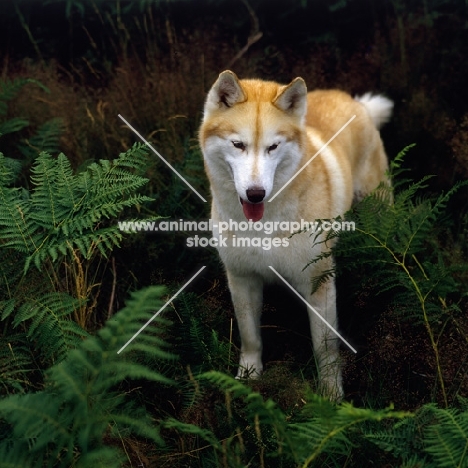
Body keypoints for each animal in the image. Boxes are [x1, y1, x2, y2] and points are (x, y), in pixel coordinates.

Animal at [197, 71, 392, 400]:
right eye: (238, 144)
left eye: (273, 147)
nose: (255, 193)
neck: (263, 226)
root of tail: (354, 101)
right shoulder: (242, 278)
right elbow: (250, 337)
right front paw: (248, 378)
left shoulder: (319, 282)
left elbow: (325, 349)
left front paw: (331, 396)